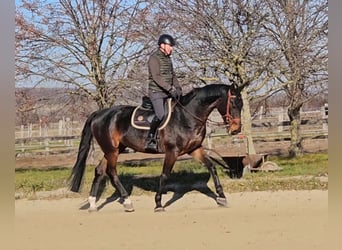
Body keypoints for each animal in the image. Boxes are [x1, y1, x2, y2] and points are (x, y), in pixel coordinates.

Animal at [69, 83, 243, 212]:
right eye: (233, 103)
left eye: (241, 105)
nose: (236, 130)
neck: (187, 116)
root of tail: (99, 114)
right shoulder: (172, 152)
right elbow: (165, 175)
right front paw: (158, 204)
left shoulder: (194, 149)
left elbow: (212, 166)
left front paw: (221, 196)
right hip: (112, 150)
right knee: (112, 173)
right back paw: (127, 201)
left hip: (115, 149)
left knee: (99, 171)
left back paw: (93, 204)